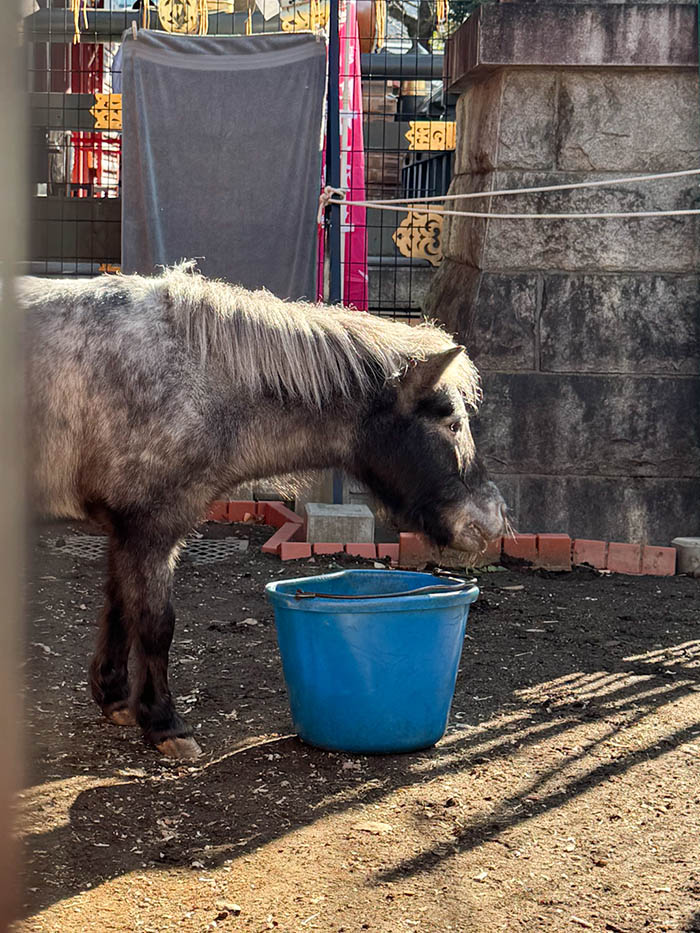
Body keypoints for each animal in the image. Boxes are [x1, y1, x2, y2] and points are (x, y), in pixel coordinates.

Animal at [22, 264, 506, 758]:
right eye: (452, 424)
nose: (492, 520)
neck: (195, 378)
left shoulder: (126, 530)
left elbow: (121, 607)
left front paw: (116, 698)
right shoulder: (151, 530)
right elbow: (156, 624)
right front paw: (164, 723)